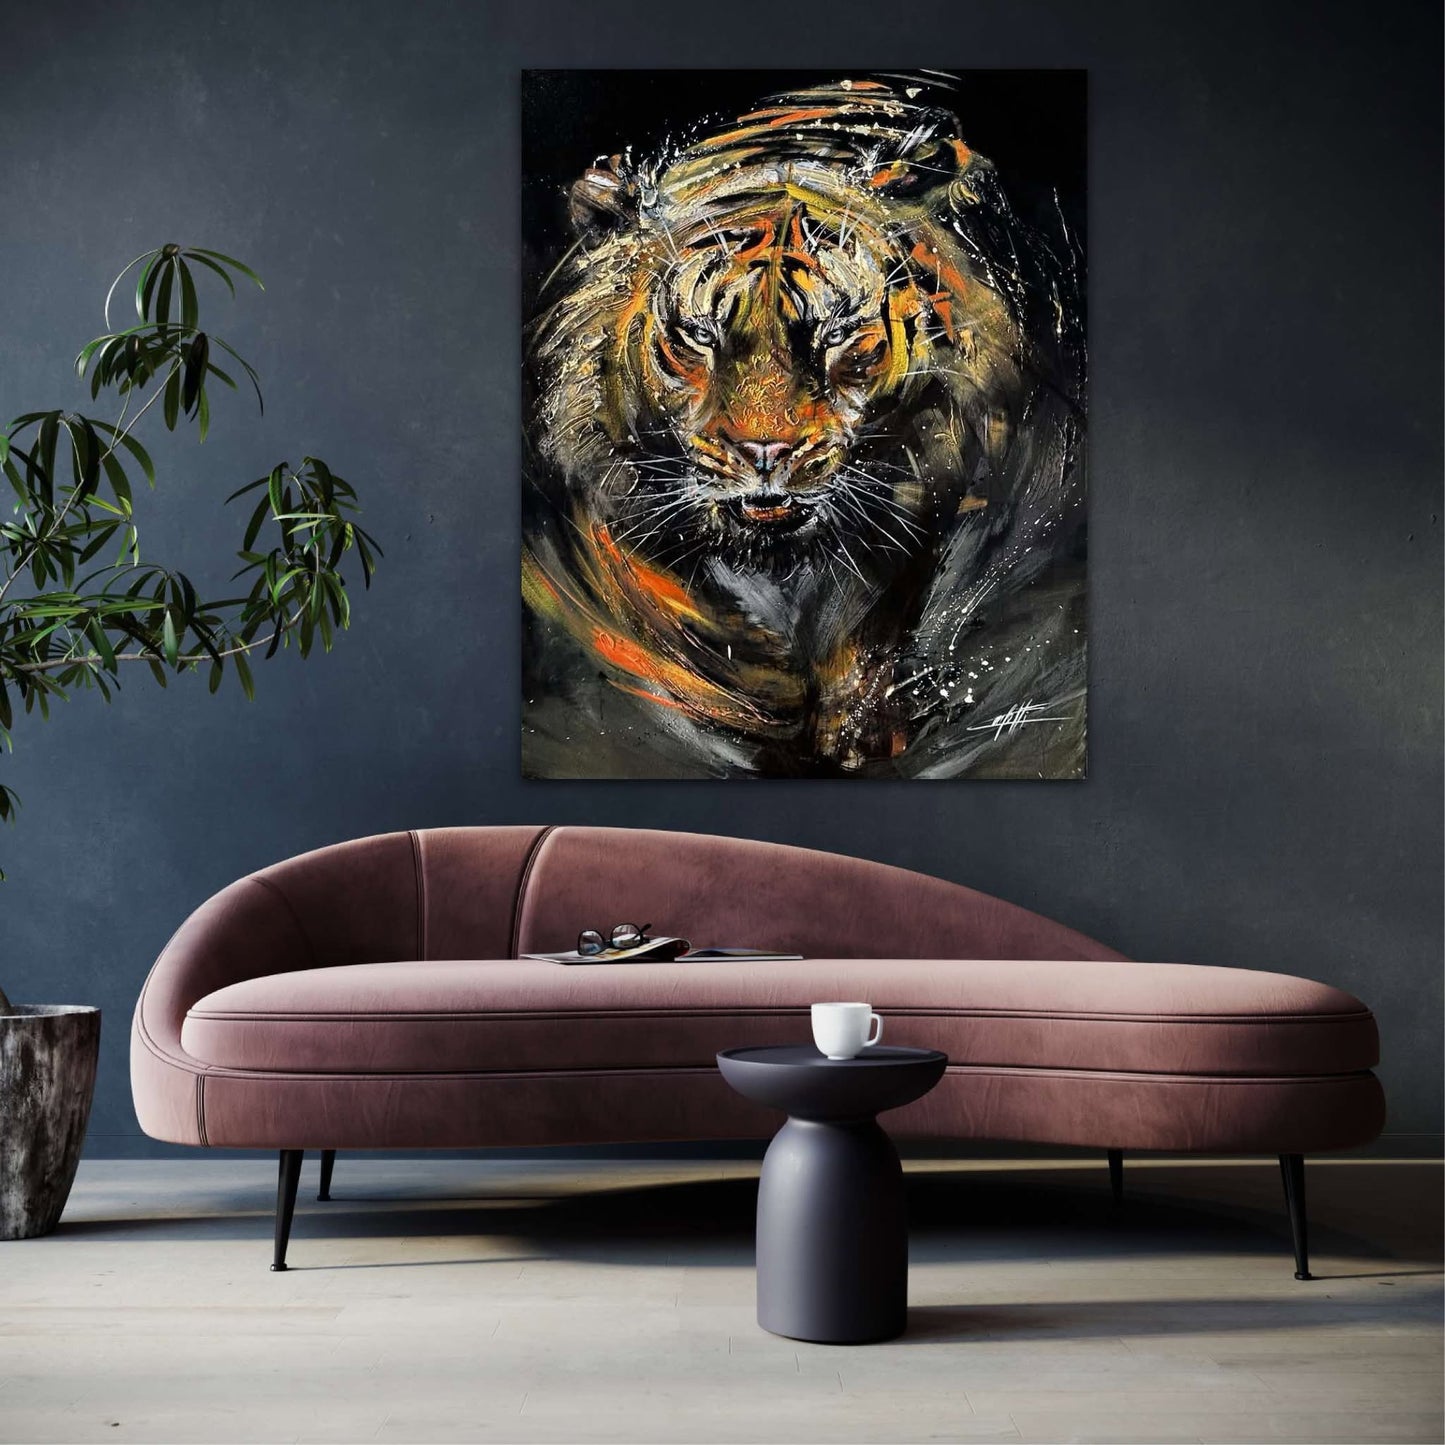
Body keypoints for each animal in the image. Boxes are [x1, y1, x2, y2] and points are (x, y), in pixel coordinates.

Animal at [522, 76, 1087, 779]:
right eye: (697, 336)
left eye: (838, 335)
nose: (766, 451)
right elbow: (676, 612)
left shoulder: (927, 489)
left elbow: (868, 621)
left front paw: (855, 732)